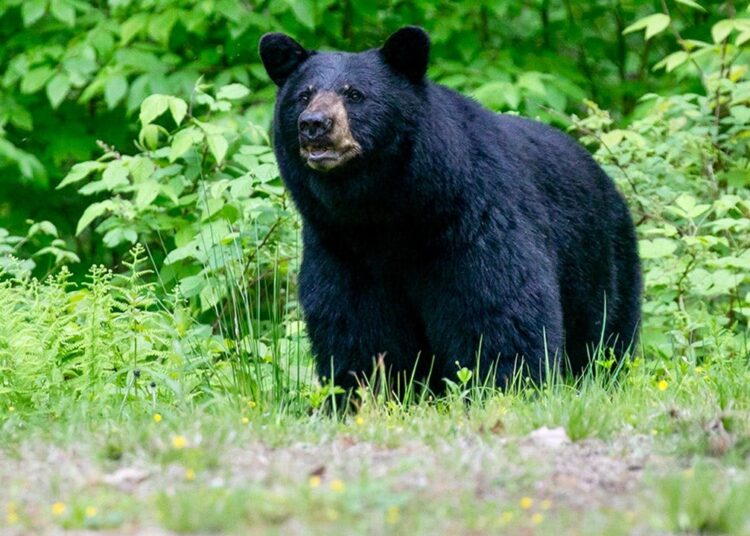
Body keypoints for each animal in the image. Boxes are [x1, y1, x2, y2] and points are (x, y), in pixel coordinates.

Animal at [259, 26, 641, 393]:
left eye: (354, 94)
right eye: (303, 95)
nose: (314, 124)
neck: (389, 211)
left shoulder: (474, 220)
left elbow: (496, 307)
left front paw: (505, 387)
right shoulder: (341, 246)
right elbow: (354, 322)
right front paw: (362, 394)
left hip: (601, 259)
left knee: (604, 334)